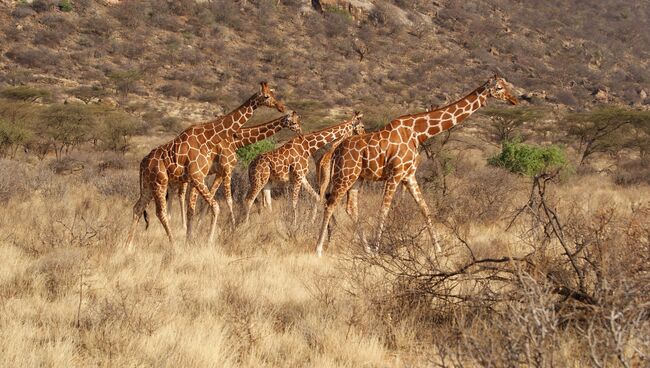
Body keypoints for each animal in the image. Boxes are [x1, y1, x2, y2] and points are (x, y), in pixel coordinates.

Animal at [125, 82, 282, 249]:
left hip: (150, 184)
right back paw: (173, 244)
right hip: (160, 182)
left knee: (138, 208)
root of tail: (143, 162)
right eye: (267, 96)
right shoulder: (213, 172)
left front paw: (192, 237)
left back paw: (128, 245)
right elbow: (221, 203)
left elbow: (196, 207)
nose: (281, 106)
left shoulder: (206, 175)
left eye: (273, 94)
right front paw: (218, 236)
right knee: (160, 211)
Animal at [168, 110, 302, 229]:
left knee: (176, 192)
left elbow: (212, 194)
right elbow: (228, 199)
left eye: (298, 120)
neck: (236, 141)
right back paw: (182, 225)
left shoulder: (219, 172)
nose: (300, 131)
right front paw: (233, 225)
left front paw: (199, 223)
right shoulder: (226, 169)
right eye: (294, 122)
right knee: (180, 194)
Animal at [314, 76, 516, 258]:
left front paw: (439, 250)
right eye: (499, 87)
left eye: (508, 84)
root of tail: (336, 150)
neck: (418, 133)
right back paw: (319, 250)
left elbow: (425, 209)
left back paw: (366, 249)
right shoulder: (395, 175)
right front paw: (378, 251)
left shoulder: (409, 176)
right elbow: (384, 210)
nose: (514, 99)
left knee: (351, 208)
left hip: (357, 178)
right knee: (330, 204)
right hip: (344, 175)